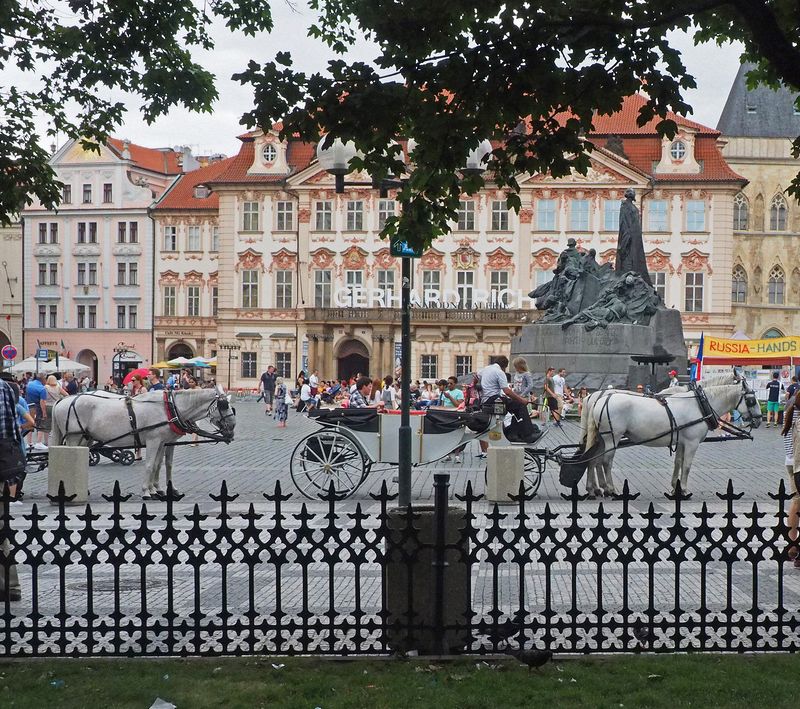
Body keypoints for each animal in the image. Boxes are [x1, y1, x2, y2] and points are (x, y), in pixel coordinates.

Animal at [50, 388, 234, 498]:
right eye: (224, 405)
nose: (232, 426)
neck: (169, 408)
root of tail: (63, 400)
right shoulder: (154, 440)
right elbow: (150, 465)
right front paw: (147, 491)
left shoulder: (163, 442)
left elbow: (161, 465)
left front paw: (158, 489)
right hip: (74, 438)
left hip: (85, 438)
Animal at [580, 374, 760, 496]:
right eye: (751, 400)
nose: (758, 420)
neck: (700, 404)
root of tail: (598, 400)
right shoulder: (692, 443)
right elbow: (686, 465)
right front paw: (684, 490)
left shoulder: (682, 442)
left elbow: (678, 463)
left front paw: (675, 487)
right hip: (612, 438)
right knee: (605, 462)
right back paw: (610, 489)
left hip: (601, 439)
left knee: (593, 460)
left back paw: (595, 488)